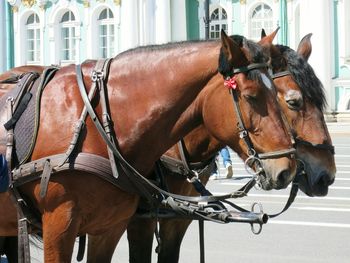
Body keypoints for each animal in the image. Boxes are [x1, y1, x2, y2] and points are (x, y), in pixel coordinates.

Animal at [0, 31, 296, 263]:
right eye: (251, 96)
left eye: (279, 95)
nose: (288, 170)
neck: (96, 124)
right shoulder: (60, 227)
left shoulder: (112, 228)